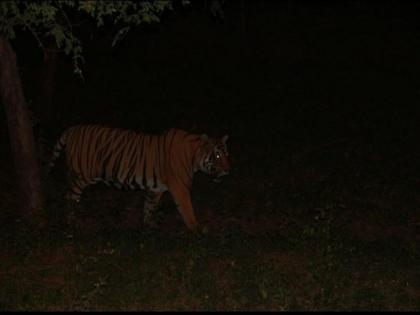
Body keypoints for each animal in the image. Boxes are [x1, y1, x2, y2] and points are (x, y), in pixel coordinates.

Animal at [45, 125, 230, 232]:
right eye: (217, 155)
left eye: (226, 154)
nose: (228, 171)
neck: (193, 156)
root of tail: (73, 129)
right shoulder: (180, 188)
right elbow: (187, 209)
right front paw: (196, 228)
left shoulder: (155, 189)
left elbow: (149, 207)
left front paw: (148, 226)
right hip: (80, 176)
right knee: (69, 198)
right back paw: (72, 222)